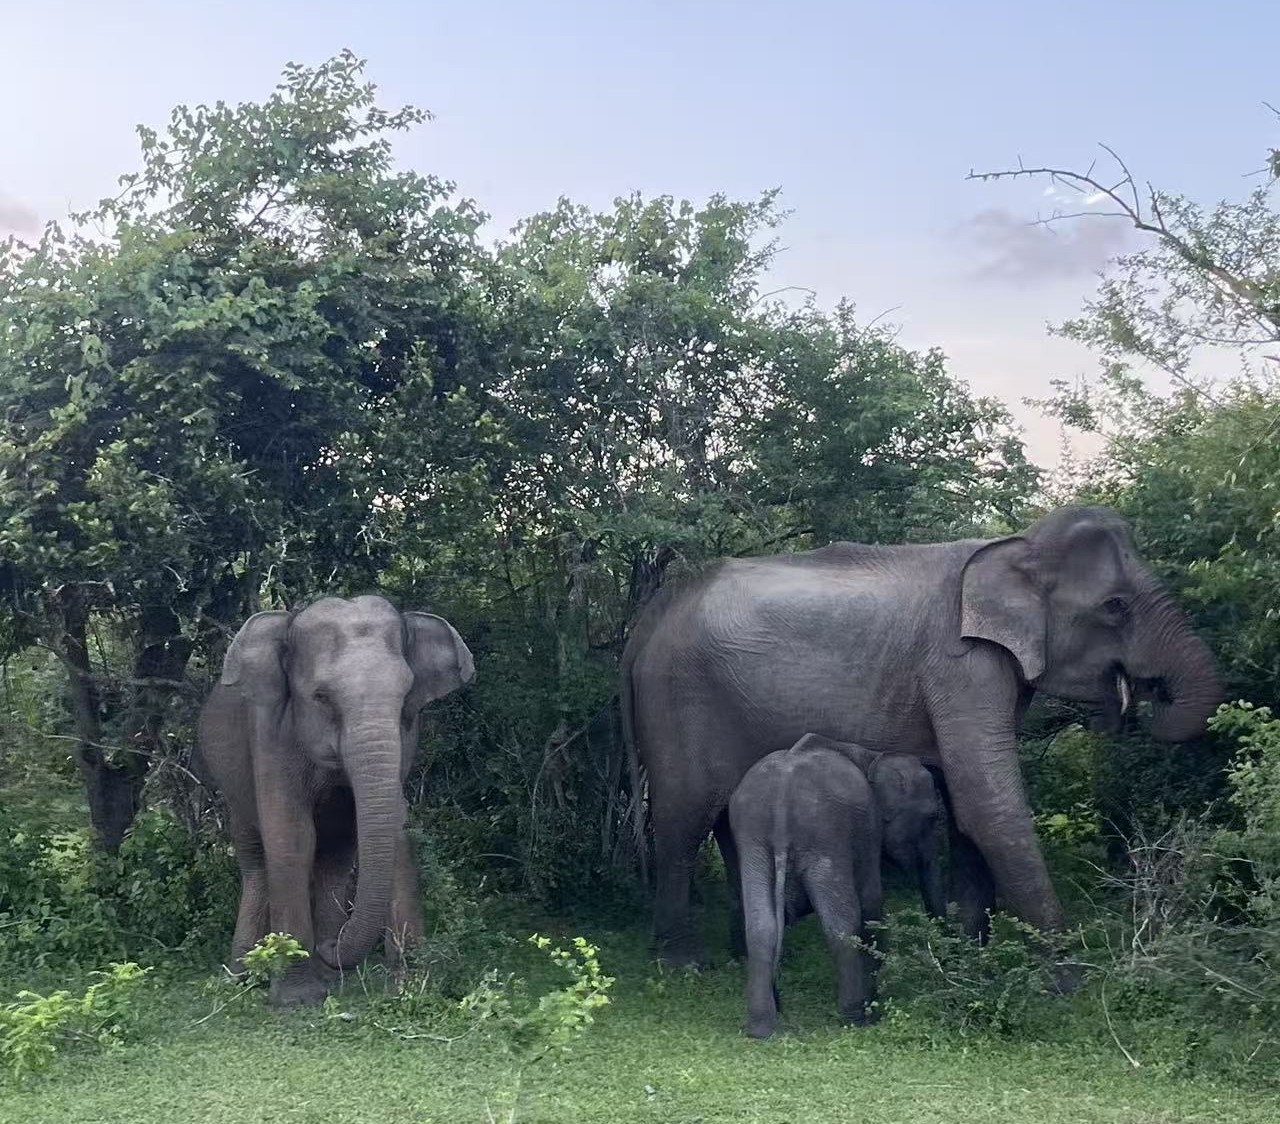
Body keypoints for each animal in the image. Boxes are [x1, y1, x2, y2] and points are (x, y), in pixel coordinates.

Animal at [196, 594, 474, 1005]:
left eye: (406, 697)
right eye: (321, 697)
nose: (331, 947)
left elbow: (384, 834)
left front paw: (408, 985)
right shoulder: (270, 731)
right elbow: (291, 838)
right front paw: (295, 1000)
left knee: (334, 855)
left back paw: (330, 978)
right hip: (231, 783)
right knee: (255, 860)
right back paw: (244, 973)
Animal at [622, 505, 1222, 967]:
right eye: (1115, 606)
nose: (1136, 706)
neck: (1016, 549)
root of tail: (646, 620)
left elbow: (969, 807)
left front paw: (972, 956)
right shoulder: (959, 665)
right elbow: (988, 805)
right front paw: (1064, 984)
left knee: (726, 824)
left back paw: (748, 954)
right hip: (679, 700)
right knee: (682, 821)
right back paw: (684, 965)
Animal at [729, 737, 884, 1038]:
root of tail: (781, 802)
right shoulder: (867, 829)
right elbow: (872, 902)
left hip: (753, 839)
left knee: (760, 925)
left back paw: (761, 1028)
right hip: (825, 838)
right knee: (841, 927)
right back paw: (855, 1018)